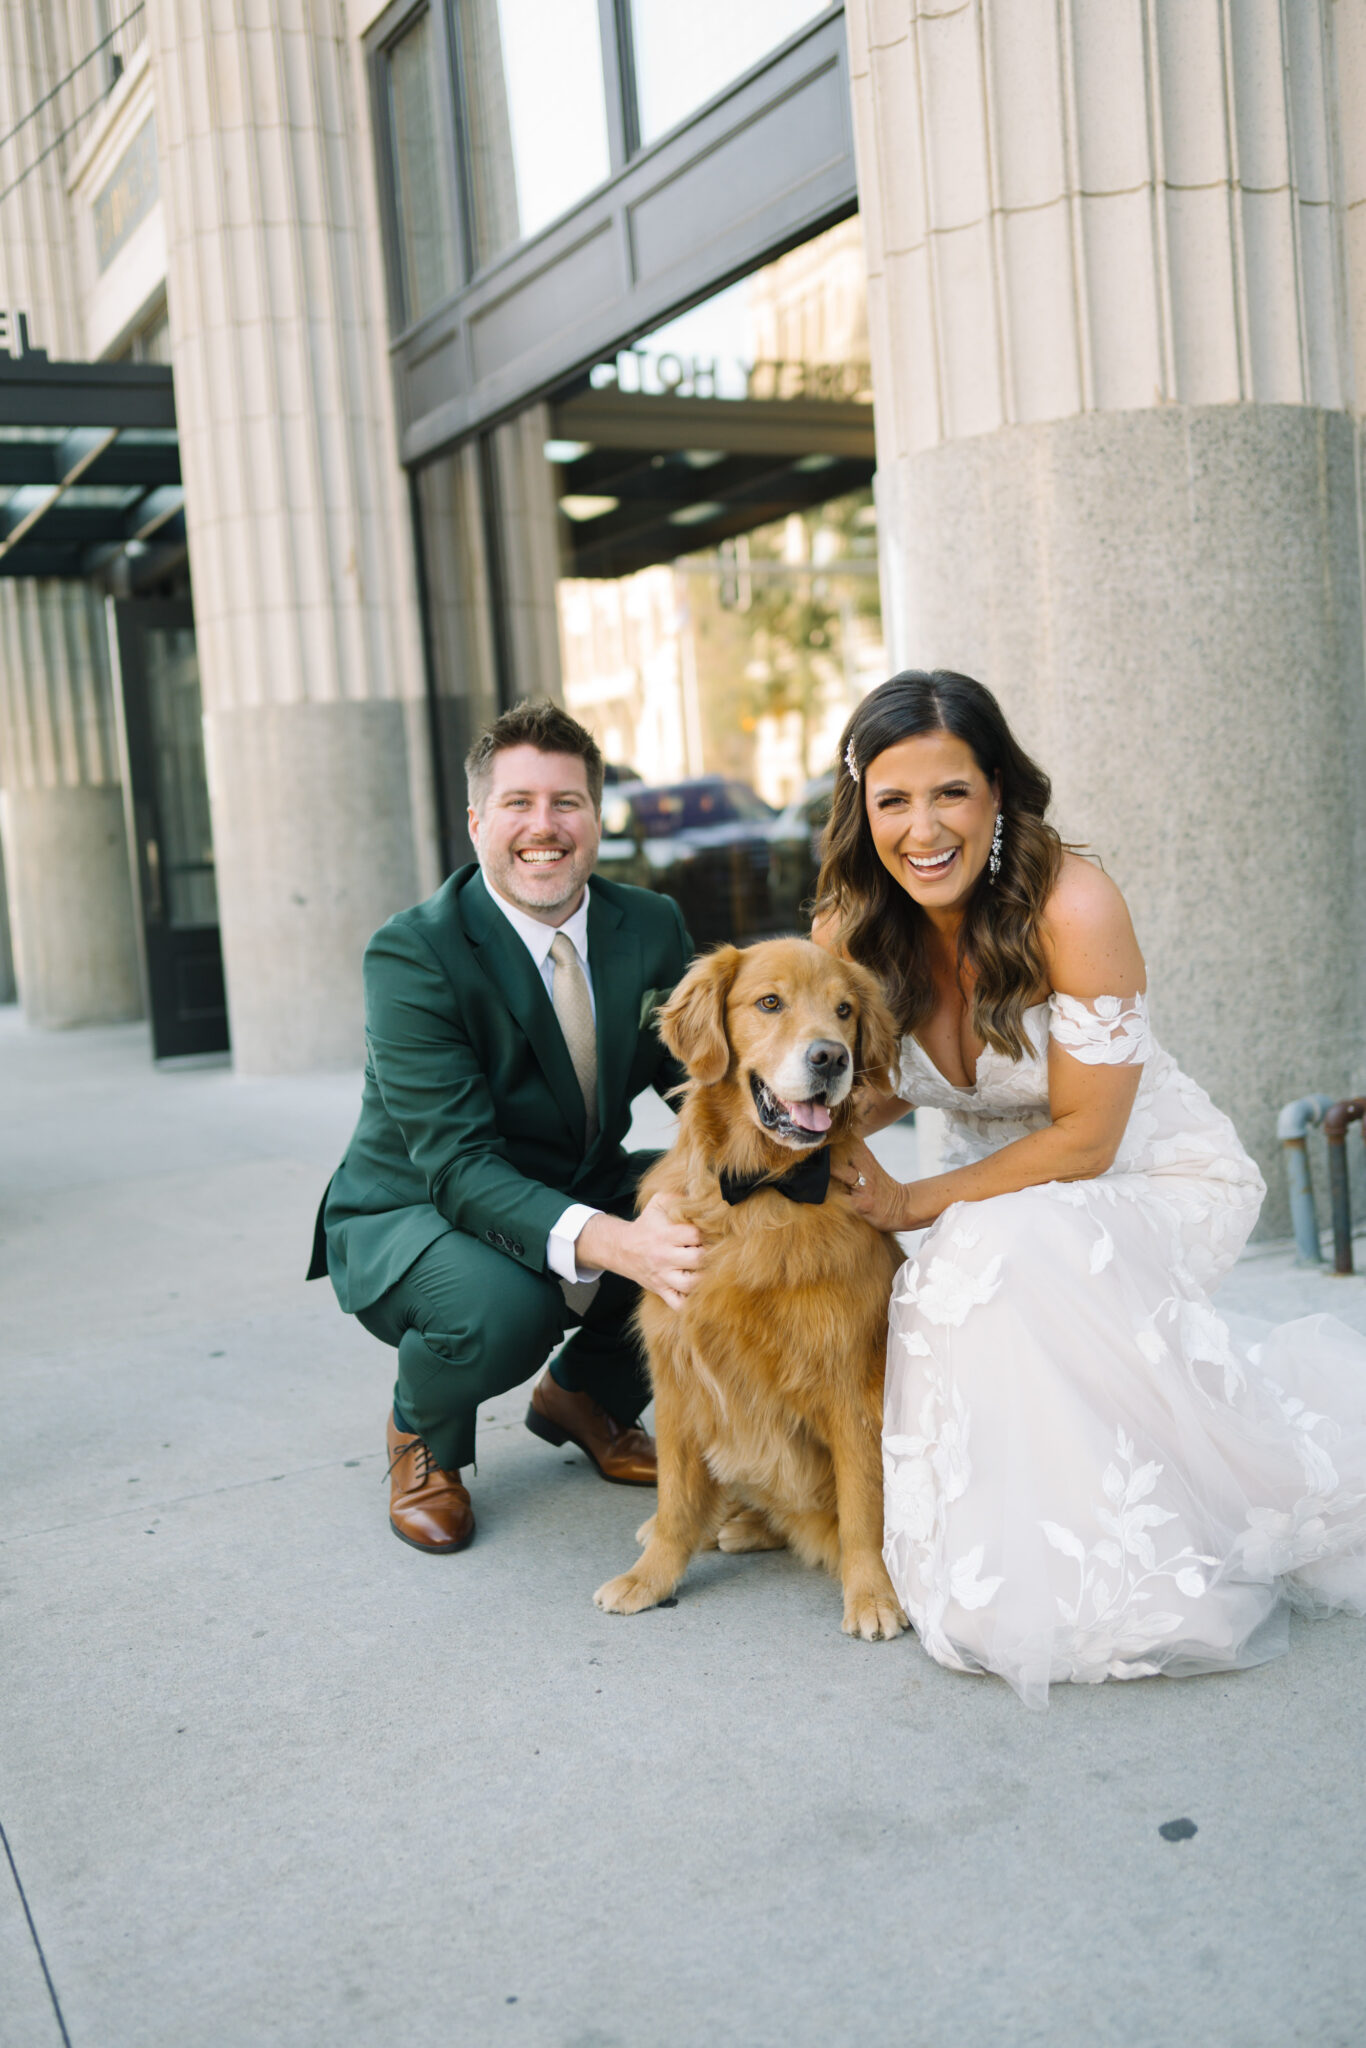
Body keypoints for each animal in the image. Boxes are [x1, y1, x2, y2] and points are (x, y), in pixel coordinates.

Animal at [593, 938, 909, 1641]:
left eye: (845, 1011)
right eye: (769, 1002)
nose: (831, 1057)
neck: (762, 1190)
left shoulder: (851, 1388)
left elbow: (865, 1509)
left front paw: (873, 1596)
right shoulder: (677, 1377)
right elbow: (675, 1495)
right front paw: (651, 1578)